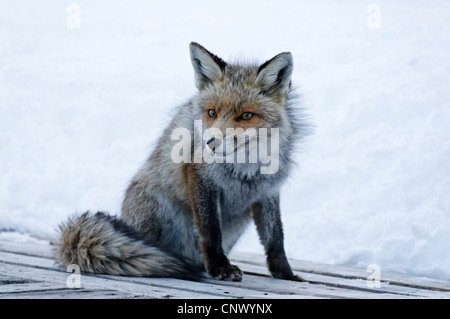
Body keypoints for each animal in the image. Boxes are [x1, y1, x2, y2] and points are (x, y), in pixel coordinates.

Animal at [55, 42, 310, 282]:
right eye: (211, 113)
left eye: (247, 116)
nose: (210, 143)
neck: (245, 170)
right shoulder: (200, 176)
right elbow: (210, 231)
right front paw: (219, 268)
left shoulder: (268, 191)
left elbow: (275, 238)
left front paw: (285, 274)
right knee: (142, 246)